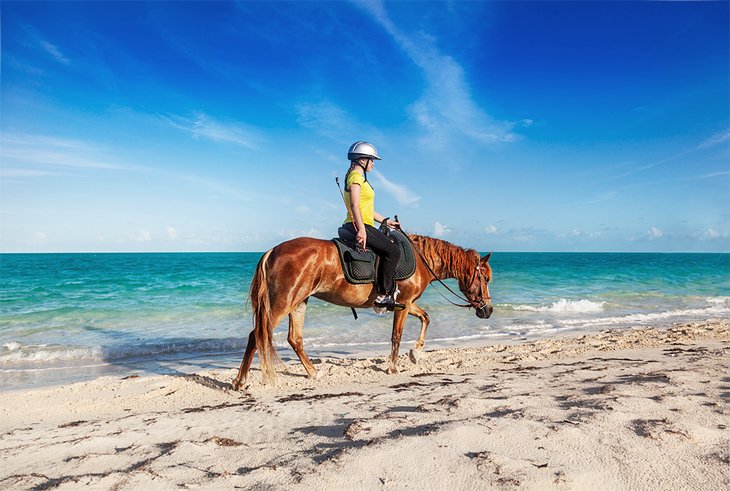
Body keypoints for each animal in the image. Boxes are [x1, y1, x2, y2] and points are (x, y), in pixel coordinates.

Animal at [230, 234, 492, 392]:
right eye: (486, 279)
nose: (488, 310)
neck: (421, 259)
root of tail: (272, 251)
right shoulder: (404, 304)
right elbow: (396, 336)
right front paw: (394, 367)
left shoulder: (406, 304)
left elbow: (426, 317)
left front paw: (416, 353)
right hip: (282, 303)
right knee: (256, 335)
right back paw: (241, 380)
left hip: (299, 302)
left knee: (294, 338)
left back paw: (313, 373)